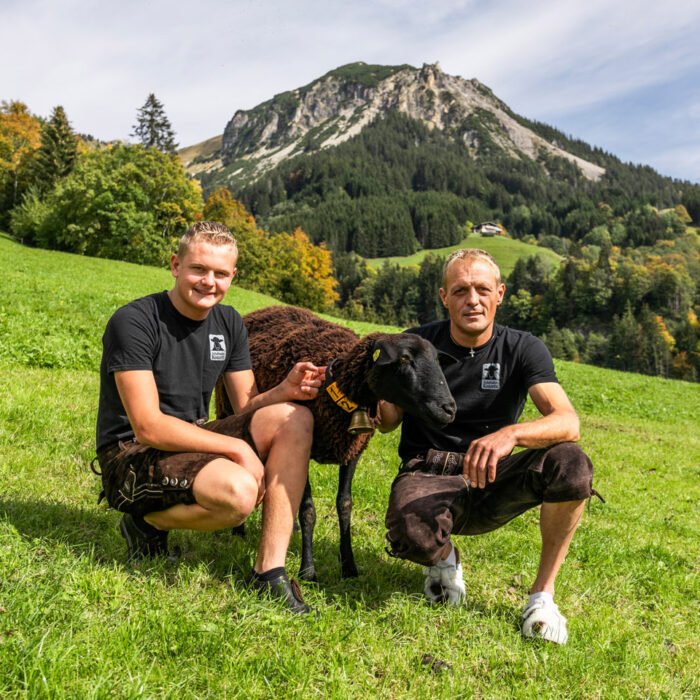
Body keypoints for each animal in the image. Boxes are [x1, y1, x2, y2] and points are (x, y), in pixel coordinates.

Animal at [216, 304, 454, 580]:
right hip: (226, 407)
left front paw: (349, 565)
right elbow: (308, 510)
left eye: (437, 360)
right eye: (405, 358)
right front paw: (308, 570)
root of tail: (266, 308)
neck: (338, 388)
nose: (449, 409)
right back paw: (239, 530)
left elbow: (345, 505)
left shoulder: (353, 449)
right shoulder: (303, 443)